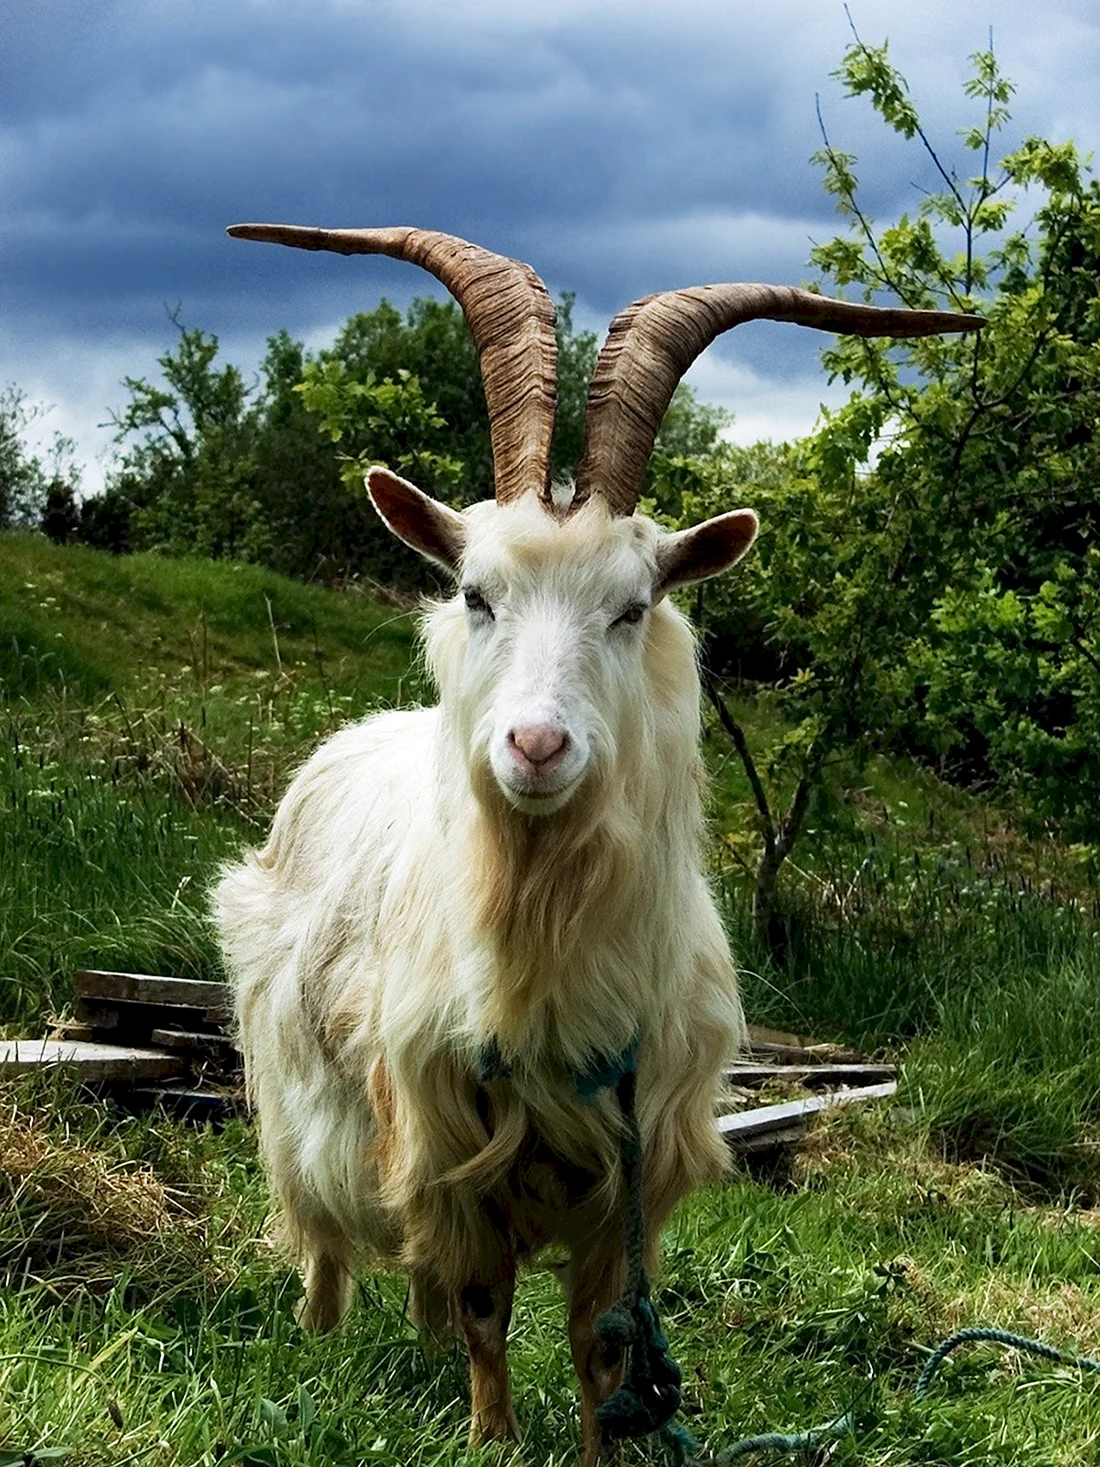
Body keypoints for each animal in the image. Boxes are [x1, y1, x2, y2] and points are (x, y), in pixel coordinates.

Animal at [213, 224, 982, 1465]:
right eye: (474, 594)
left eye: (631, 608)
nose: (534, 746)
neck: (540, 929)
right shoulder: (445, 1128)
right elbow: (485, 1302)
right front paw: (488, 1438)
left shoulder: (633, 1156)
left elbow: (603, 1339)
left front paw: (589, 1444)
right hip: (293, 1085)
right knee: (324, 1232)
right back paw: (319, 1344)